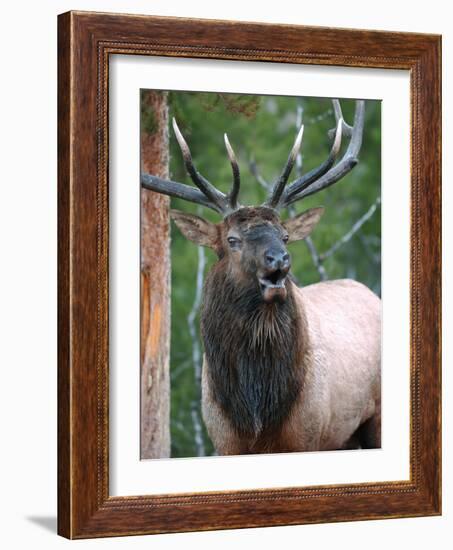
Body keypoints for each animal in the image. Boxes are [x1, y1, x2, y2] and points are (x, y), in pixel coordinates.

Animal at [142, 100, 382, 458]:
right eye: (232, 240)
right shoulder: (224, 442)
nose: (279, 260)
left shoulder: (307, 437)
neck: (256, 412)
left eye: (285, 236)